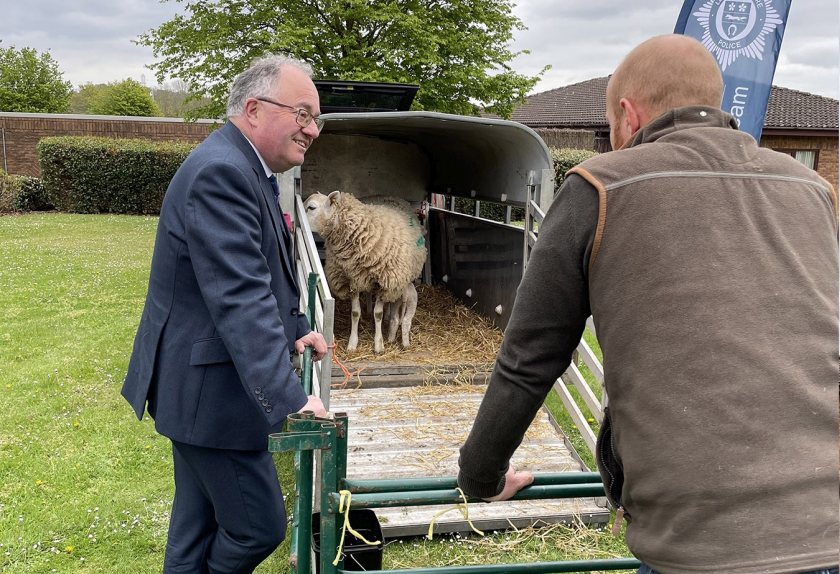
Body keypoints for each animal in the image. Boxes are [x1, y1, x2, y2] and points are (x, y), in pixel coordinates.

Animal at [304, 191, 426, 356]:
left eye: (311, 207)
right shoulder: (352, 279)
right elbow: (355, 313)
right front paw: (352, 343)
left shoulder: (384, 281)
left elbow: (378, 314)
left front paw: (379, 345)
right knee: (368, 294)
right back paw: (368, 309)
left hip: (393, 281)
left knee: (389, 303)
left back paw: (387, 317)